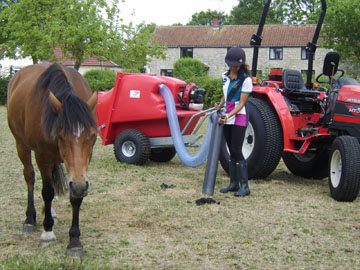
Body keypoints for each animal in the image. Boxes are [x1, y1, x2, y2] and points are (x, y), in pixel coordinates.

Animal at [8, 62, 98, 256]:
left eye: (93, 135)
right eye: (60, 136)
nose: (80, 186)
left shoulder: (81, 167)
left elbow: (74, 197)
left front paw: (74, 240)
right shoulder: (43, 157)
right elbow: (47, 191)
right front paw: (47, 231)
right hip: (21, 145)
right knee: (30, 177)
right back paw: (30, 218)